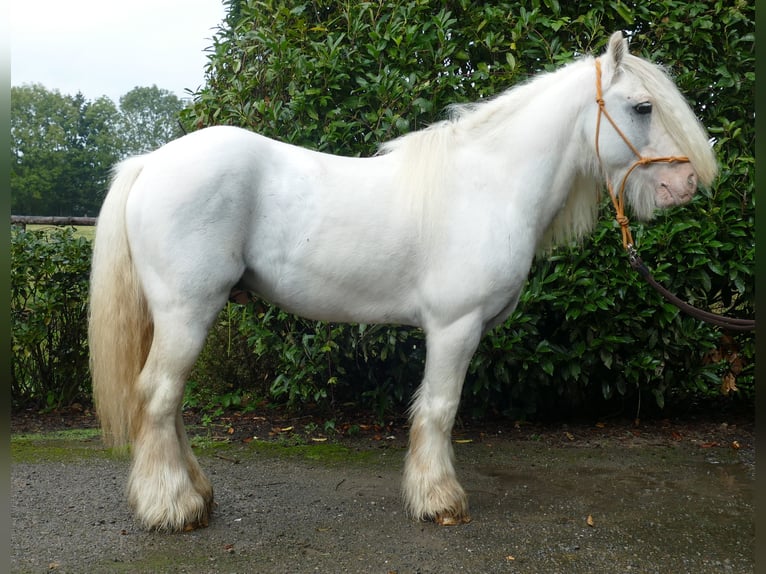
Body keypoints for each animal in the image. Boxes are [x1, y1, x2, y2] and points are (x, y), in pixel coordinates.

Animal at [90, 33, 720, 532]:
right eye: (642, 106)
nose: (686, 184)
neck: (491, 185)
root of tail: (149, 163)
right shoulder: (454, 327)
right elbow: (440, 408)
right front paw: (439, 500)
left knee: (168, 404)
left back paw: (196, 496)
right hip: (187, 310)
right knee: (159, 396)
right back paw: (172, 507)